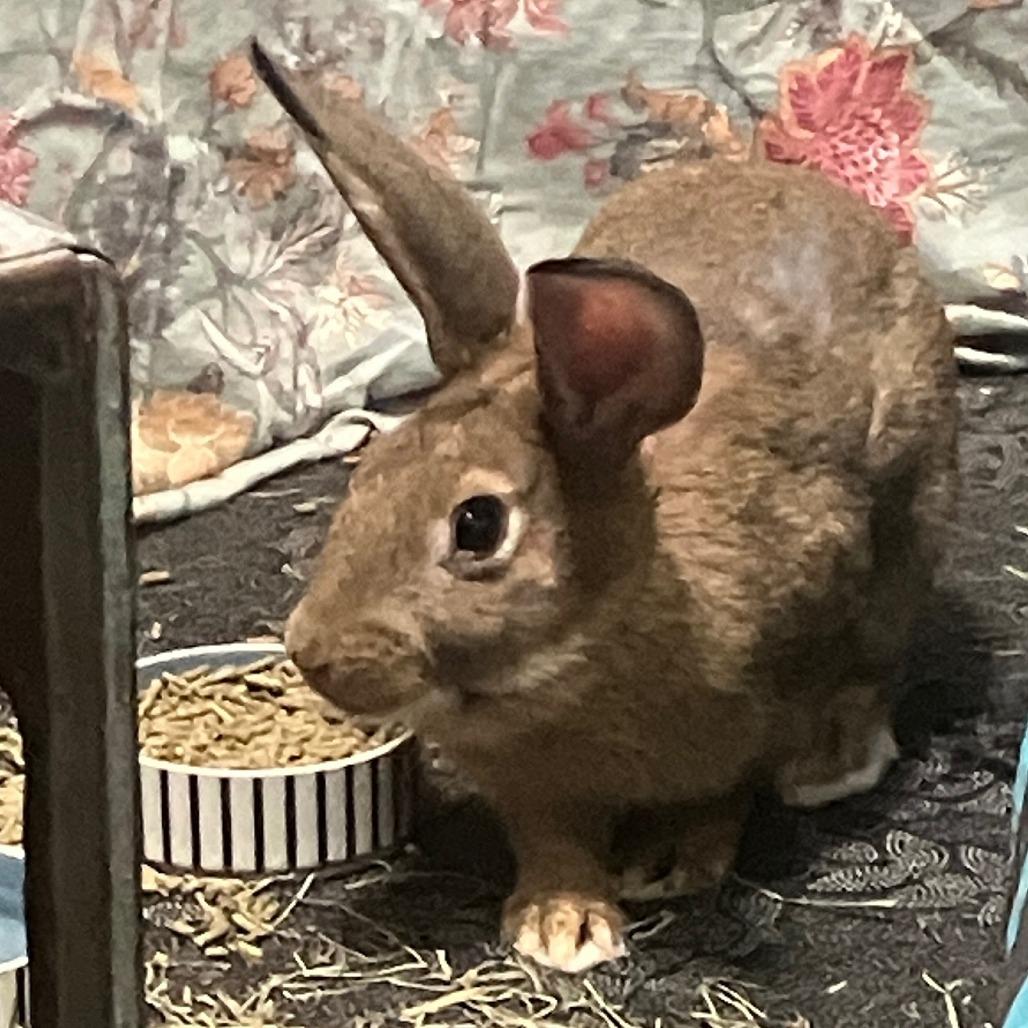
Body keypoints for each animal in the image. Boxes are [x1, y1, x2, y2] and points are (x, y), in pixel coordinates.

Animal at [251, 41, 958, 973]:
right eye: (367, 476)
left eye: (477, 525)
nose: (313, 654)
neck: (583, 651)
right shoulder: (535, 785)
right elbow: (555, 840)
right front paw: (560, 922)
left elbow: (721, 800)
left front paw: (669, 864)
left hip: (909, 540)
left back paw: (832, 767)